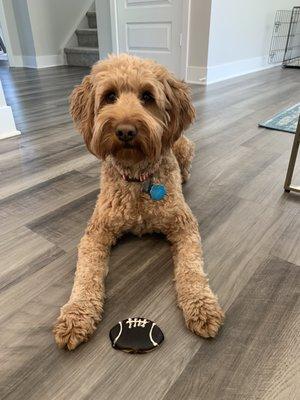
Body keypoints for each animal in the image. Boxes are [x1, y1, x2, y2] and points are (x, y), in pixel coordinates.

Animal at [53, 54, 223, 350]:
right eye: (110, 96)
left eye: (147, 96)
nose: (125, 131)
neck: (137, 179)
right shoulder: (96, 232)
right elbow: (86, 273)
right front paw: (76, 314)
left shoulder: (184, 225)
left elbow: (191, 268)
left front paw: (202, 306)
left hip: (184, 146)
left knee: (186, 165)